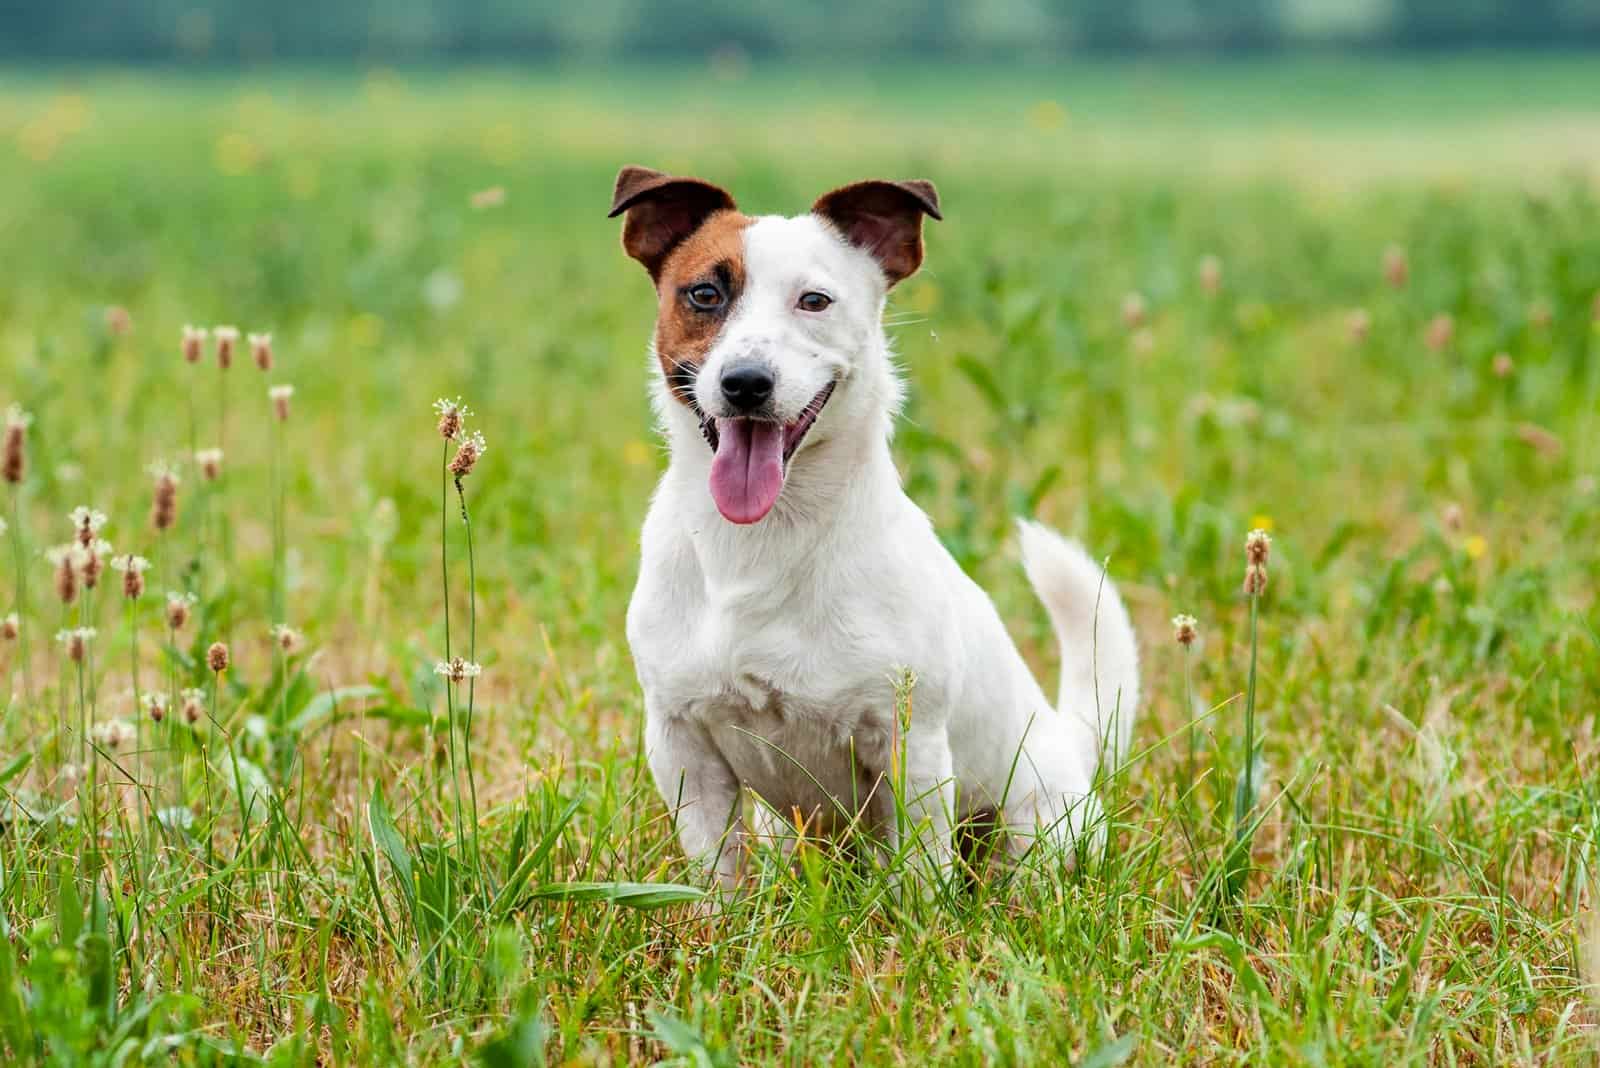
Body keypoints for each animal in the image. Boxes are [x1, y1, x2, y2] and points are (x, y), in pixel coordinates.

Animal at [608, 164, 1139, 882]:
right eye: (705, 294)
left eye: (815, 301)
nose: (746, 382)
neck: (761, 542)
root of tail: (1071, 750)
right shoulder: (681, 745)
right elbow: (718, 873)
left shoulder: (908, 744)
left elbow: (917, 873)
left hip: (1034, 827)